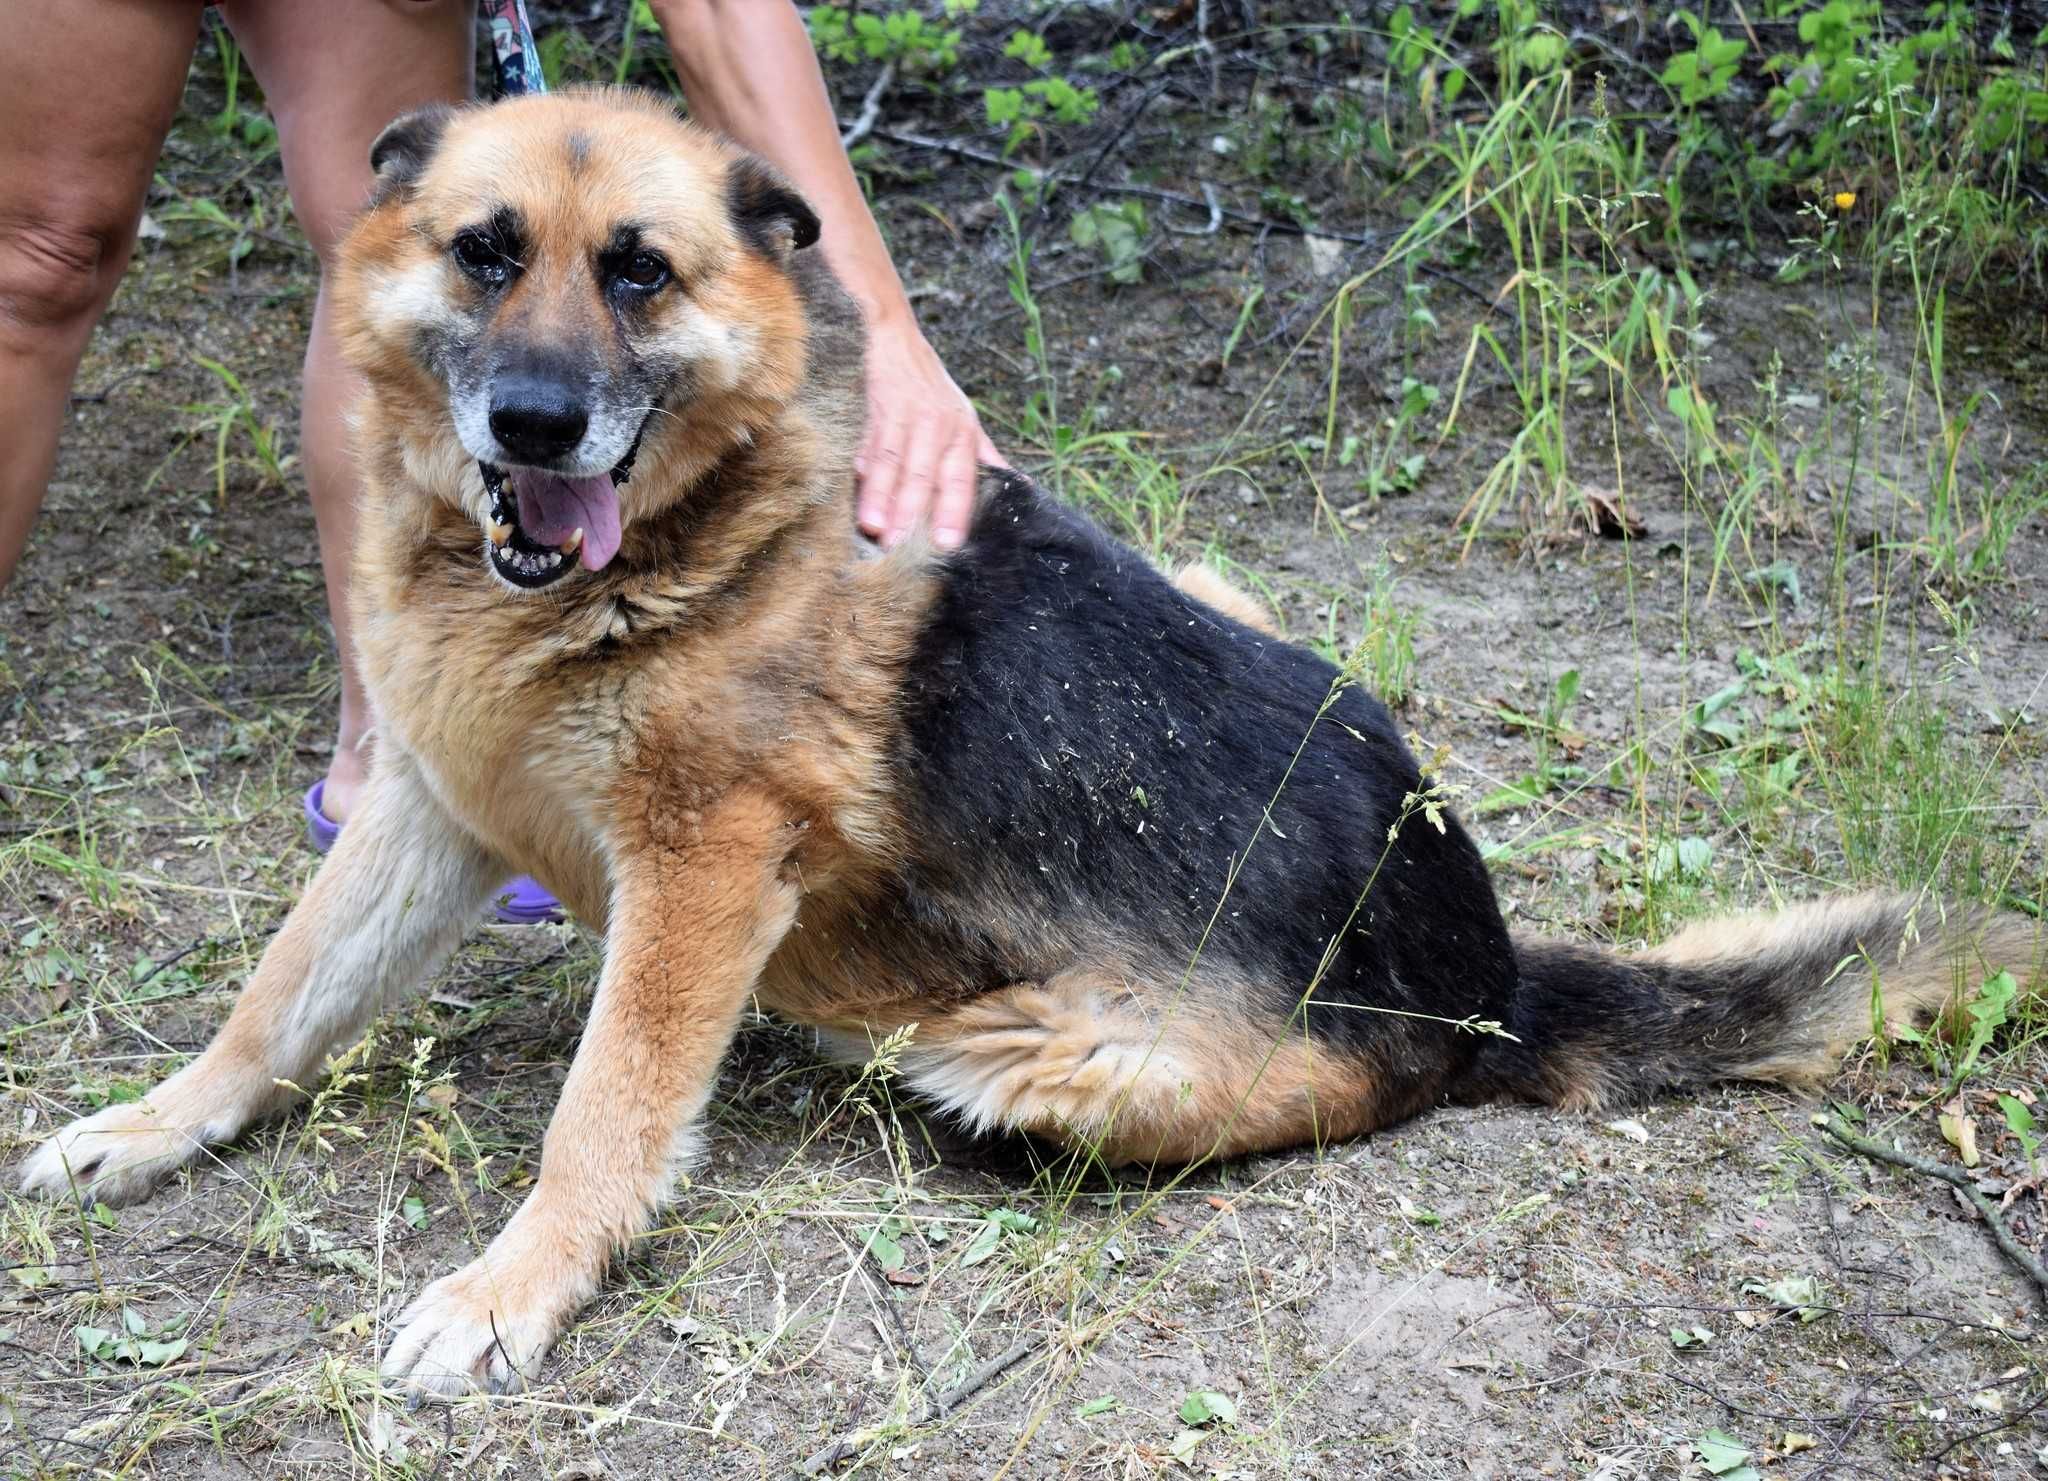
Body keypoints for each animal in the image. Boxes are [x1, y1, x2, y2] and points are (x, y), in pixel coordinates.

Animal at [19, 87, 2048, 1392]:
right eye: (486, 251)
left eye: (640, 274)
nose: (533, 427)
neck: (677, 548)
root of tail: (1484, 973)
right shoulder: (427, 816)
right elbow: (275, 999)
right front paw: (150, 1130)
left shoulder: (701, 875)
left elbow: (602, 1111)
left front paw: (520, 1291)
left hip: (1026, 1052)